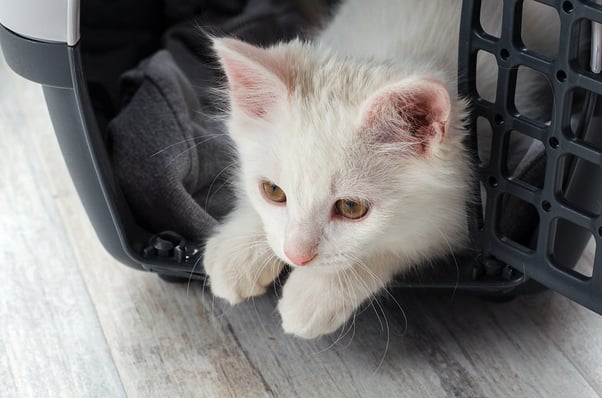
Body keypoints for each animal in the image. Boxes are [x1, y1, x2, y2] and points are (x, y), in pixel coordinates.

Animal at [204, 0, 556, 338]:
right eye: (273, 191)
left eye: (351, 208)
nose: (297, 256)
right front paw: (236, 253)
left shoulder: (465, 211)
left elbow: (401, 244)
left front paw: (316, 294)